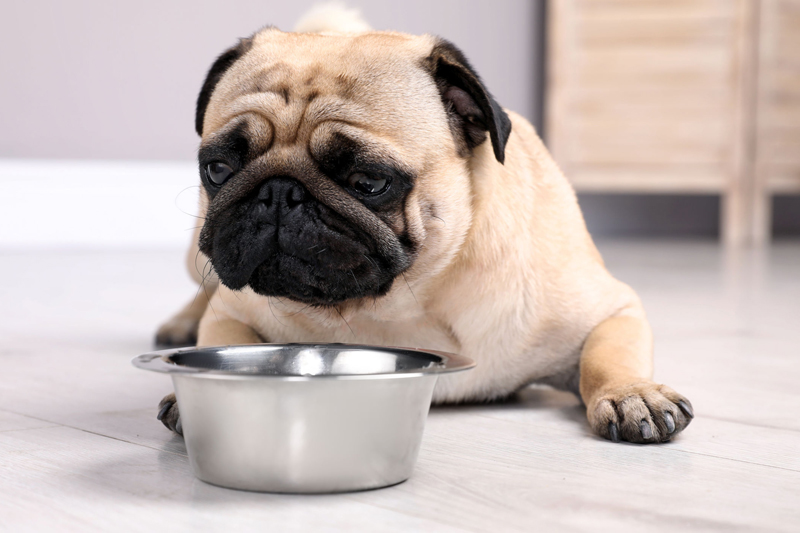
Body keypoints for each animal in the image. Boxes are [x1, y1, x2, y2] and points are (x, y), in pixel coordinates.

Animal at [156, 6, 692, 442]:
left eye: (370, 181)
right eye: (218, 169)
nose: (279, 194)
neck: (397, 305)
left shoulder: (612, 310)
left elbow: (607, 354)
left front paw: (632, 393)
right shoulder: (233, 313)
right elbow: (221, 333)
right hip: (197, 251)